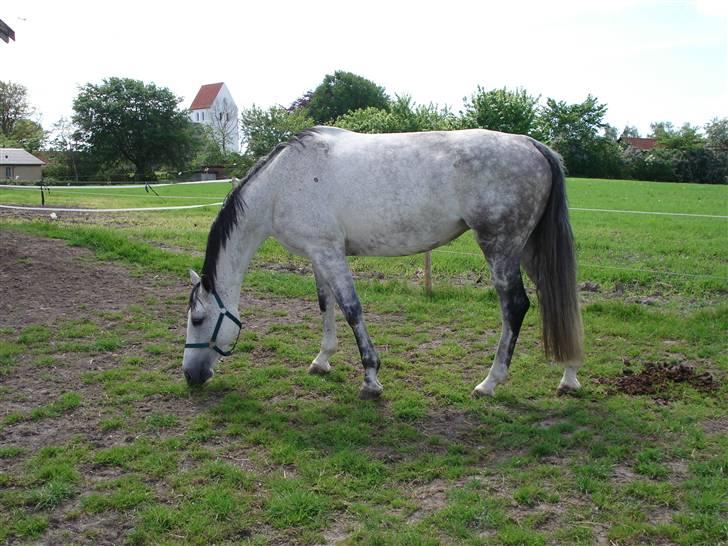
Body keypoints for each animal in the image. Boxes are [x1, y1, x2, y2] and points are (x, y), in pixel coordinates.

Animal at [183, 127, 584, 400]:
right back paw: (568, 376)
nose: (190, 375)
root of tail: (532, 144)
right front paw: (322, 359)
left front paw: (371, 379)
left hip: (500, 248)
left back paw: (489, 383)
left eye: (198, 319)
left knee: (515, 306)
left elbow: (351, 309)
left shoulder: (329, 254)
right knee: (558, 300)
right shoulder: (319, 254)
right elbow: (325, 305)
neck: (281, 184)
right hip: (528, 249)